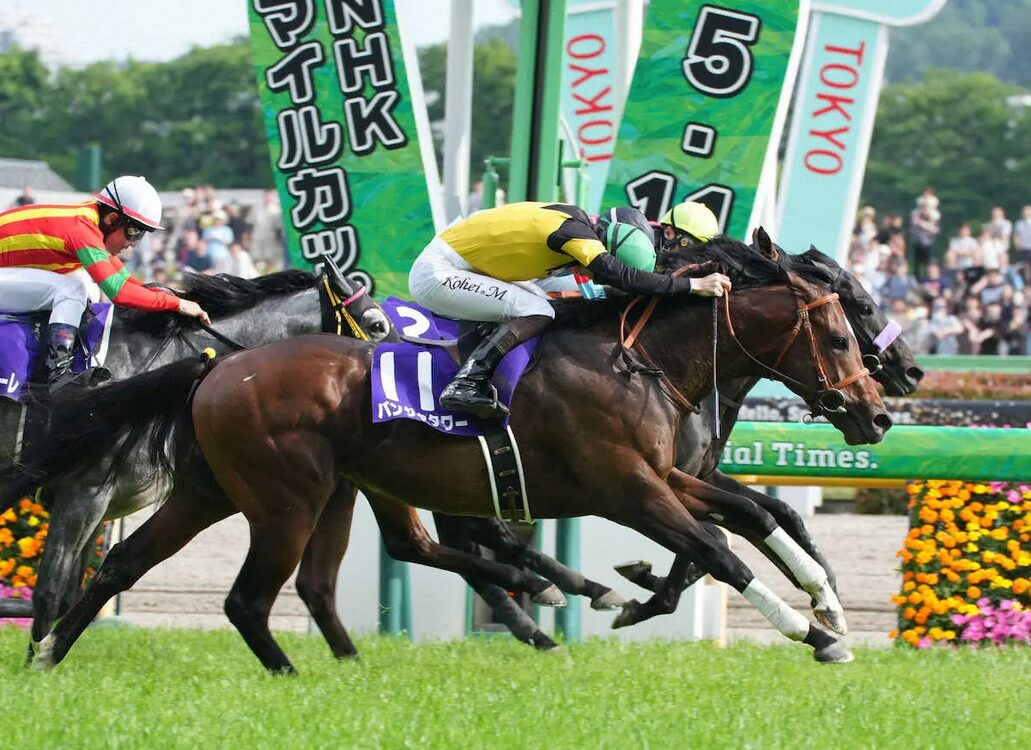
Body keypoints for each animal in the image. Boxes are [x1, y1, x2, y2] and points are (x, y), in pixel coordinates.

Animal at [20, 233, 892, 673]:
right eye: (841, 329)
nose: (881, 409)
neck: (637, 360)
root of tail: (215, 364)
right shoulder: (627, 489)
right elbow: (718, 548)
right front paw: (814, 633)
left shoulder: (667, 473)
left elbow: (755, 514)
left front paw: (827, 600)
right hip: (285, 498)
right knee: (246, 596)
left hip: (233, 490)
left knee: (124, 565)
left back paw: (50, 657)